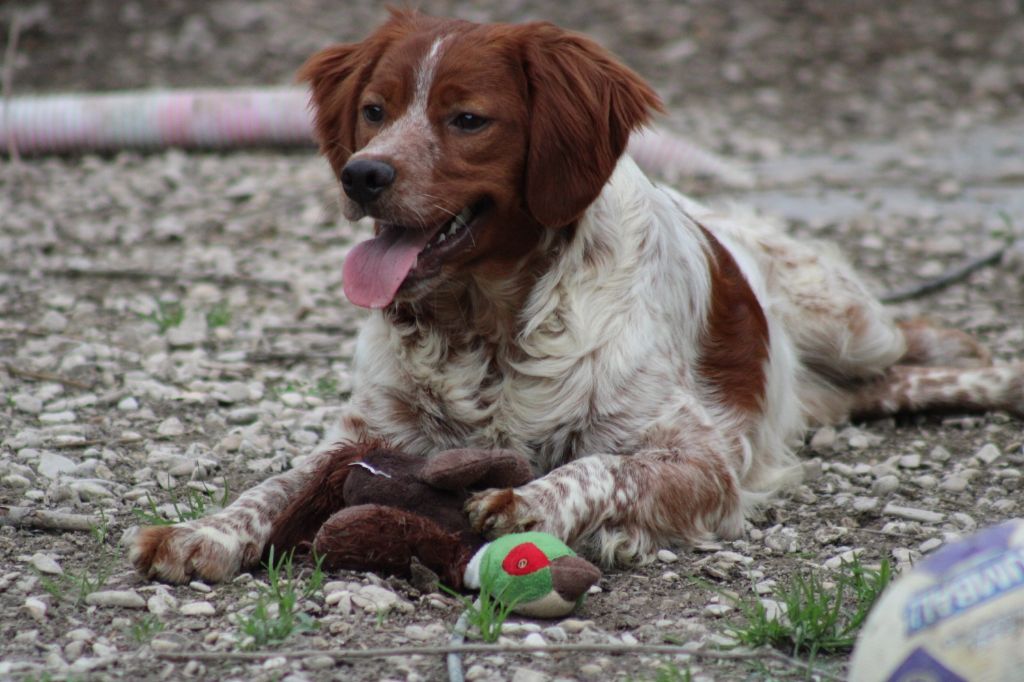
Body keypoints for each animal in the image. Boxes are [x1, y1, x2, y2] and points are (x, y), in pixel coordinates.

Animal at [132, 10, 1019, 581]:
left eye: (467, 119)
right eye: (375, 111)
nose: (363, 174)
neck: (488, 330)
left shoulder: (701, 454)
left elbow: (597, 468)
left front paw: (529, 504)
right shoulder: (368, 434)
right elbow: (276, 483)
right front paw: (203, 532)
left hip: (852, 324)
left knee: (917, 348)